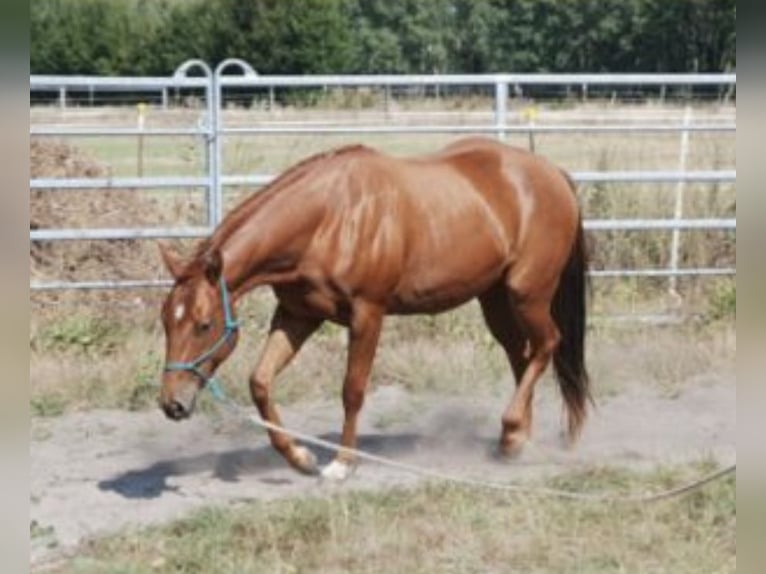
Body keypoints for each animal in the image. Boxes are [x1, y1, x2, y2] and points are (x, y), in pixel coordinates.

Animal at [159, 136, 592, 482]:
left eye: (203, 324)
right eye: (166, 323)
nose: (171, 404)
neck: (328, 218)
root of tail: (554, 175)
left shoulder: (367, 314)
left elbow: (352, 390)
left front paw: (342, 463)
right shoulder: (298, 315)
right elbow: (260, 382)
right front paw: (300, 458)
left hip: (527, 293)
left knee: (547, 344)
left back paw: (513, 430)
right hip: (495, 299)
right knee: (521, 356)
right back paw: (516, 440)